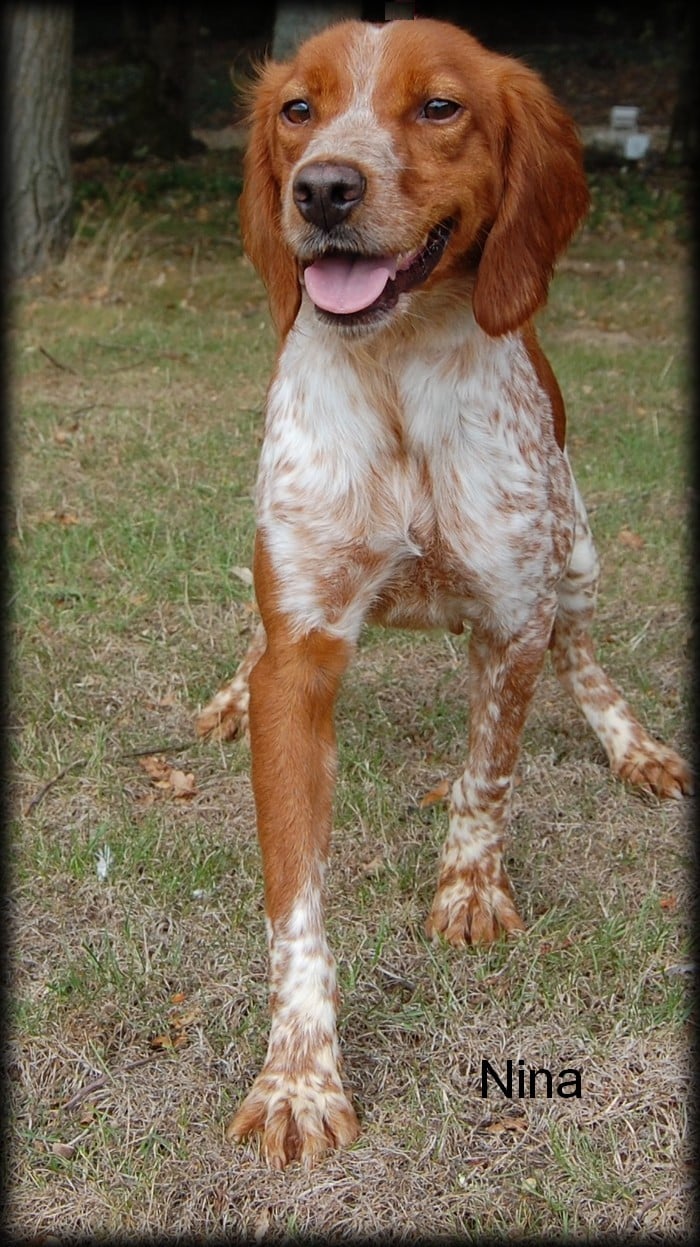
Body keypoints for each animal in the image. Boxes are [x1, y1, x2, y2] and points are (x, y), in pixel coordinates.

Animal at [194, 17, 688, 1167]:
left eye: (439, 107)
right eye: (299, 108)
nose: (325, 189)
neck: (396, 369)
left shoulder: (512, 618)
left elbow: (486, 778)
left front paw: (469, 889)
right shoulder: (304, 650)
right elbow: (296, 904)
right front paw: (297, 1076)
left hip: (578, 549)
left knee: (584, 653)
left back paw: (632, 744)